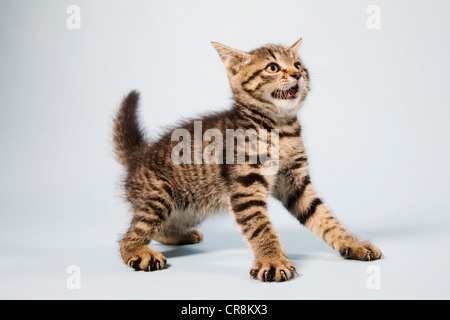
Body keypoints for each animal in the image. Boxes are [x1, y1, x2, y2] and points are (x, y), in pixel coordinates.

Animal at [113, 38, 384, 282]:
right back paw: (139, 251)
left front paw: (353, 243)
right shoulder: (246, 185)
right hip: (160, 196)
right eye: (273, 67)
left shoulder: (296, 183)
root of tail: (138, 156)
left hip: (194, 206)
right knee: (130, 235)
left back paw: (180, 236)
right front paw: (273, 261)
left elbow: (324, 217)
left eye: (298, 64)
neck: (280, 128)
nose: (297, 73)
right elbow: (260, 225)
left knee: (161, 229)